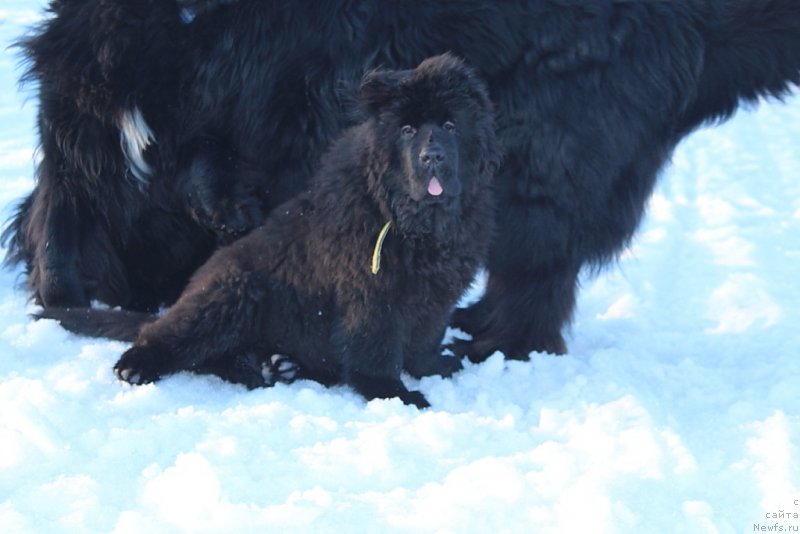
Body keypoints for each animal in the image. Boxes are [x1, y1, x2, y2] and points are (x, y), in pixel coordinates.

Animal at [42, 54, 500, 408]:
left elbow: (426, 338)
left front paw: (437, 366)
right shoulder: (372, 295)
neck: (414, 220)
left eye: (450, 126)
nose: (432, 156)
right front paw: (395, 395)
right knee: (172, 337)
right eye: (407, 130)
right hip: (232, 293)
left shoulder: (437, 293)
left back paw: (274, 366)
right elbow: (377, 350)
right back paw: (138, 367)